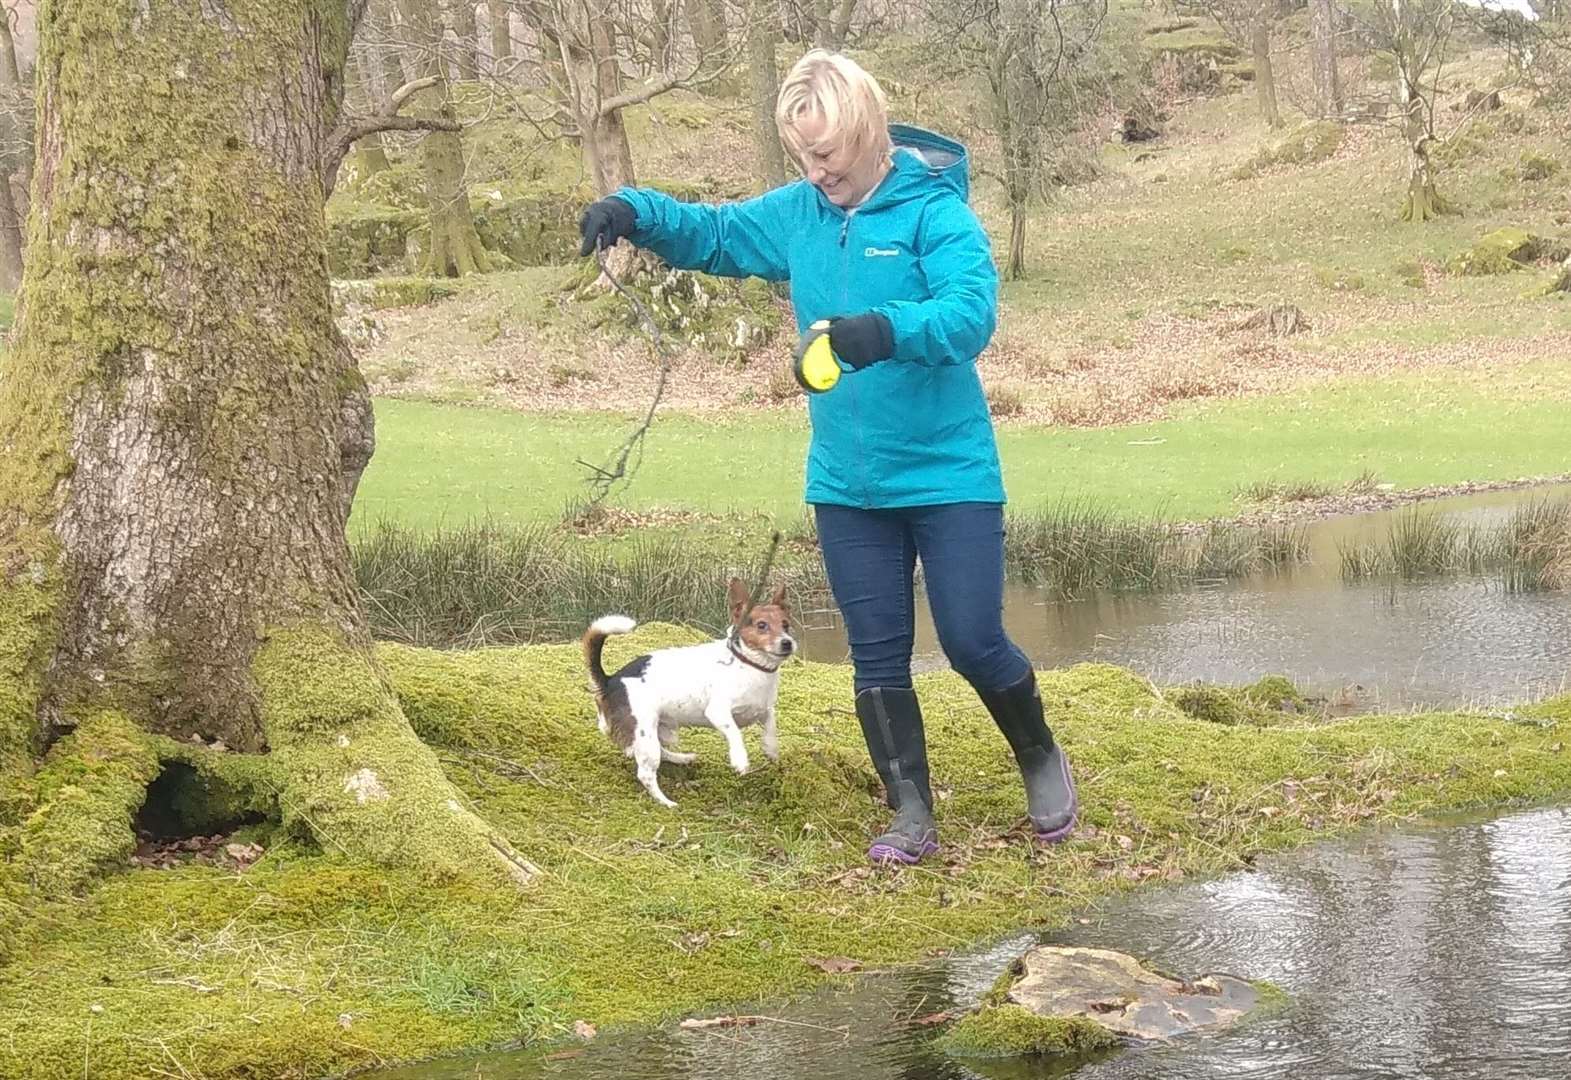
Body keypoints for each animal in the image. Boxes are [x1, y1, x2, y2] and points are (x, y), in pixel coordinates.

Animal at [581, 581, 791, 801]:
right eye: (761, 625)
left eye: (786, 625)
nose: (787, 642)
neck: (750, 664)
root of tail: (610, 681)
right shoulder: (718, 712)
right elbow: (734, 732)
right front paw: (740, 759)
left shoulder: (764, 709)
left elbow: (771, 726)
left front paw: (771, 749)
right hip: (645, 735)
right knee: (646, 774)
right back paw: (666, 802)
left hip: (656, 730)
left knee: (661, 752)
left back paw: (682, 758)